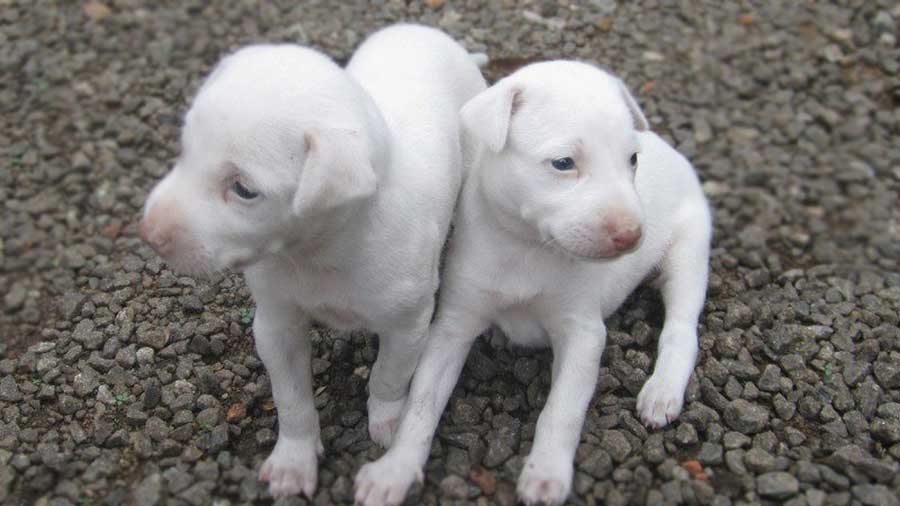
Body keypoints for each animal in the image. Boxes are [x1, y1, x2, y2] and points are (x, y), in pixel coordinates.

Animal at [142, 24, 488, 498]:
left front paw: (387, 424)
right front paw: (294, 459)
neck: (317, 253)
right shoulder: (276, 325)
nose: (148, 233)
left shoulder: (409, 326)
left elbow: (389, 375)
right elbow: (291, 399)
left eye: (244, 189)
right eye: (184, 150)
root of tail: (426, 31)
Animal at [356, 62, 712, 506]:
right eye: (563, 163)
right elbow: (422, 402)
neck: (529, 249)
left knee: (681, 329)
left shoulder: (582, 331)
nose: (631, 236)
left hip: (688, 250)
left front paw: (545, 474)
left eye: (632, 159)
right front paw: (395, 469)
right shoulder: (453, 323)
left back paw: (661, 392)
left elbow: (562, 409)